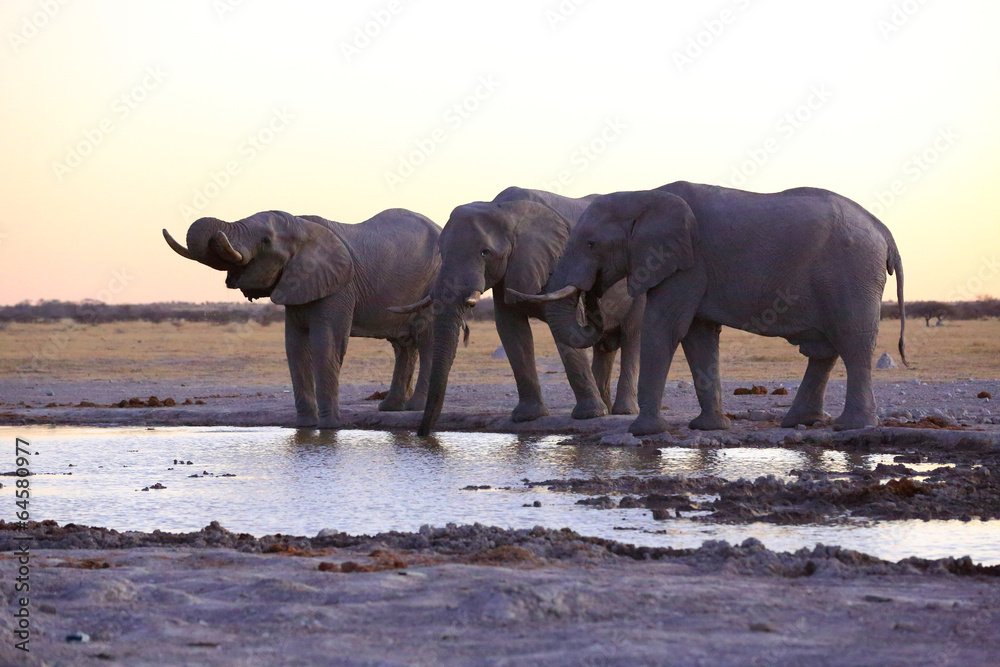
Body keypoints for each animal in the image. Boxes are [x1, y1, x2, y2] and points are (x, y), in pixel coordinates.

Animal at [163, 209, 441, 428]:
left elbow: (325, 345)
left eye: (265, 240)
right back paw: (390, 407)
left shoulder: (339, 286)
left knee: (427, 340)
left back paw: (414, 406)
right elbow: (295, 347)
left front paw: (329, 428)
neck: (302, 226)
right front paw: (305, 427)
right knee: (403, 345)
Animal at [392, 186, 643, 437]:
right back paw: (608, 408)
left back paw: (623, 411)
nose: (422, 435)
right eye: (441, 253)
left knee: (632, 337)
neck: (505, 210)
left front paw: (589, 415)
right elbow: (510, 329)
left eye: (485, 253)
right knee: (605, 347)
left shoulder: (555, 259)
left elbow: (562, 327)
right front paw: (527, 417)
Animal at [511, 181, 907, 435]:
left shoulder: (686, 263)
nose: (592, 293)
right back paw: (799, 423)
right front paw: (709, 428)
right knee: (824, 350)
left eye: (591, 244)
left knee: (853, 342)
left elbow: (665, 327)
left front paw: (644, 432)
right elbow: (698, 336)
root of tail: (884, 230)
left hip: (852, 273)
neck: (643, 195)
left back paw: (852, 426)